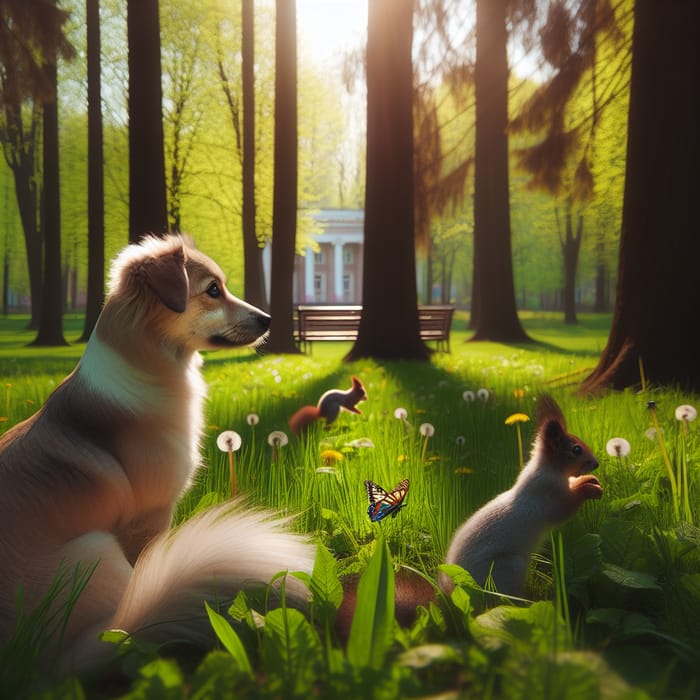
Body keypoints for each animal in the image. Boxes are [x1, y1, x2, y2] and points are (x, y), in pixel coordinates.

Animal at [334, 394, 600, 636]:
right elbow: (564, 508)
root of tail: (450, 597)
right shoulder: (549, 495)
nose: (596, 464)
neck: (549, 469)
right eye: (576, 449)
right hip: (507, 569)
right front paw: (589, 488)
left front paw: (590, 480)